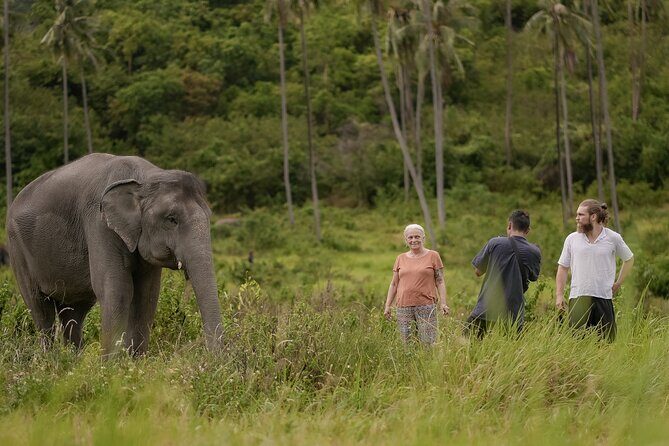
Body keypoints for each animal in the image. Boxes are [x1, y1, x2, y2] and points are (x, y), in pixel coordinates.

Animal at [6, 153, 223, 356]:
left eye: (209, 216)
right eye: (171, 219)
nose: (211, 357)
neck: (145, 177)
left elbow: (147, 294)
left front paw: (134, 363)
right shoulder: (99, 224)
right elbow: (117, 289)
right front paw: (110, 367)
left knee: (74, 313)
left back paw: (73, 363)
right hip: (17, 249)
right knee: (40, 309)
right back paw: (51, 362)